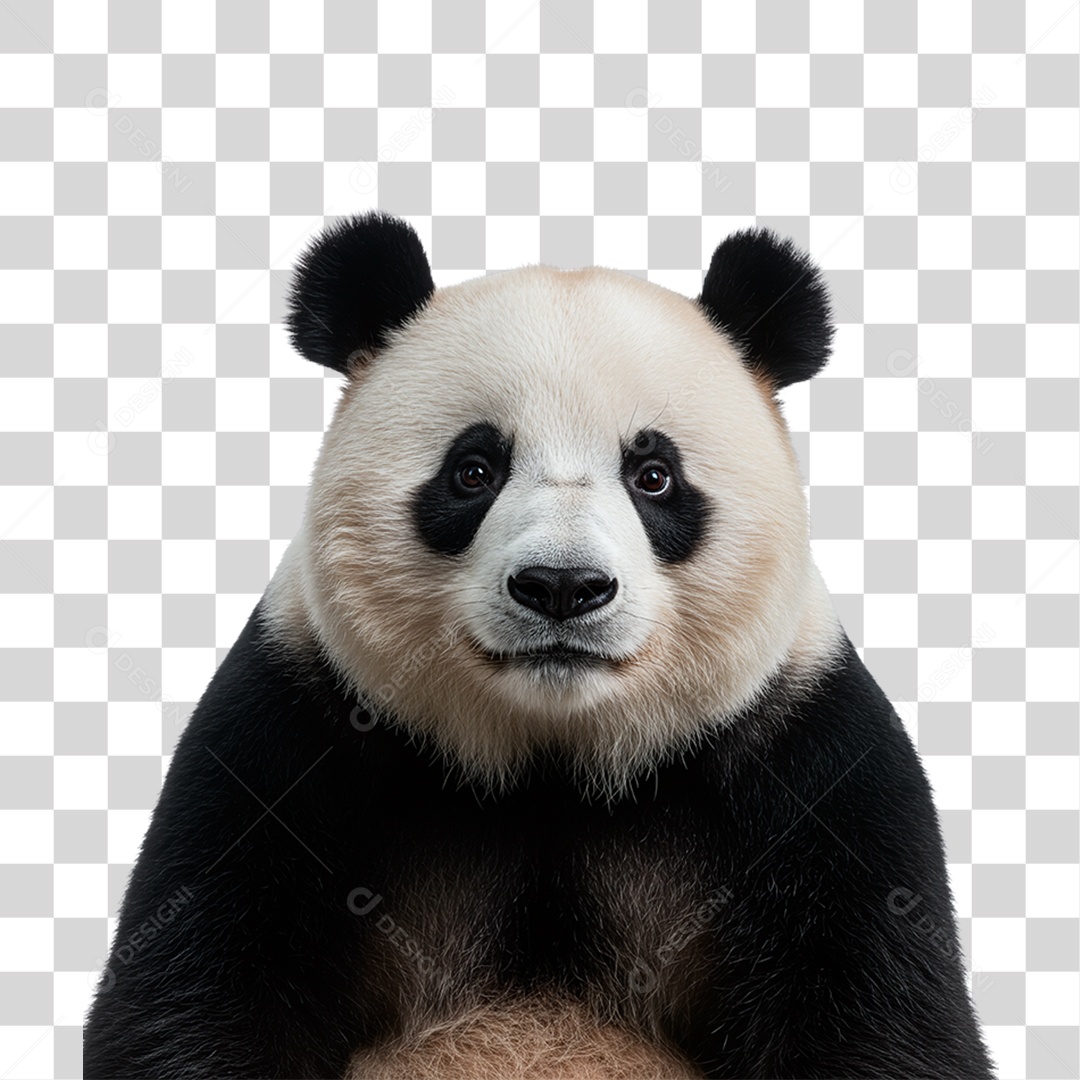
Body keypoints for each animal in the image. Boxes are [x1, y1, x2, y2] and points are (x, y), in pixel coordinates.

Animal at [83, 211, 994, 1080]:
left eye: (653, 475)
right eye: (474, 470)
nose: (562, 586)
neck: (549, 763)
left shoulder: (810, 763)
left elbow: (877, 1016)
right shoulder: (291, 737)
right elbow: (197, 993)